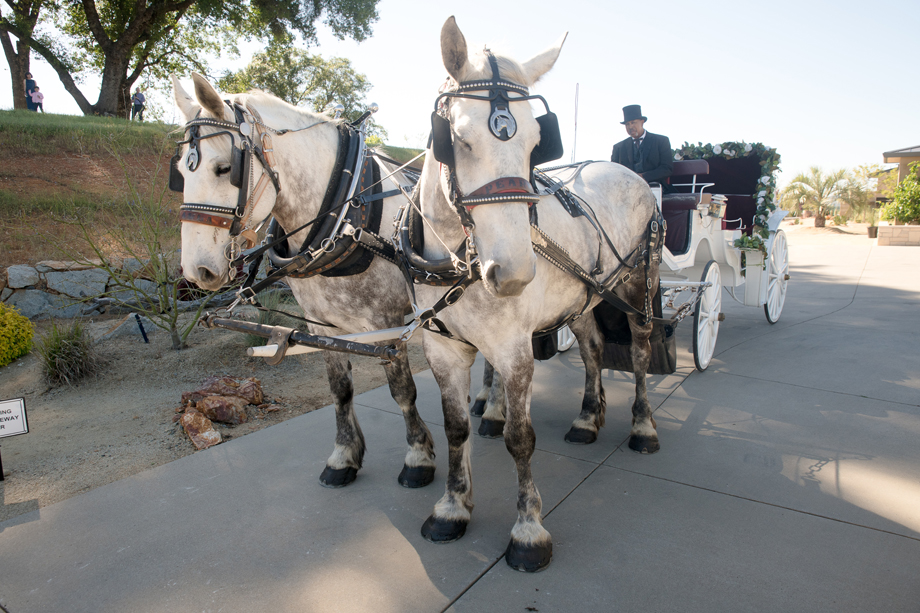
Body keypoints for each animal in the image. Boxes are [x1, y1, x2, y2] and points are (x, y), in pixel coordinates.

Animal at [170, 74, 438, 490]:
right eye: (181, 173)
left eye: (224, 168)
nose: (196, 271)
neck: (345, 212)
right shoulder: (321, 323)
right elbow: (340, 390)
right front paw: (343, 457)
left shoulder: (387, 324)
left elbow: (402, 391)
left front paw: (418, 457)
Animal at [408, 17, 661, 572]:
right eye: (456, 139)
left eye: (537, 142)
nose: (514, 272)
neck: (458, 257)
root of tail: (624, 170)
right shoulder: (442, 348)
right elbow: (455, 428)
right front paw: (452, 507)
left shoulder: (514, 350)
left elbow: (519, 439)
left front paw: (528, 531)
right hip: (584, 297)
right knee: (592, 349)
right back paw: (587, 417)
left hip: (637, 287)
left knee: (637, 352)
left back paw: (642, 427)